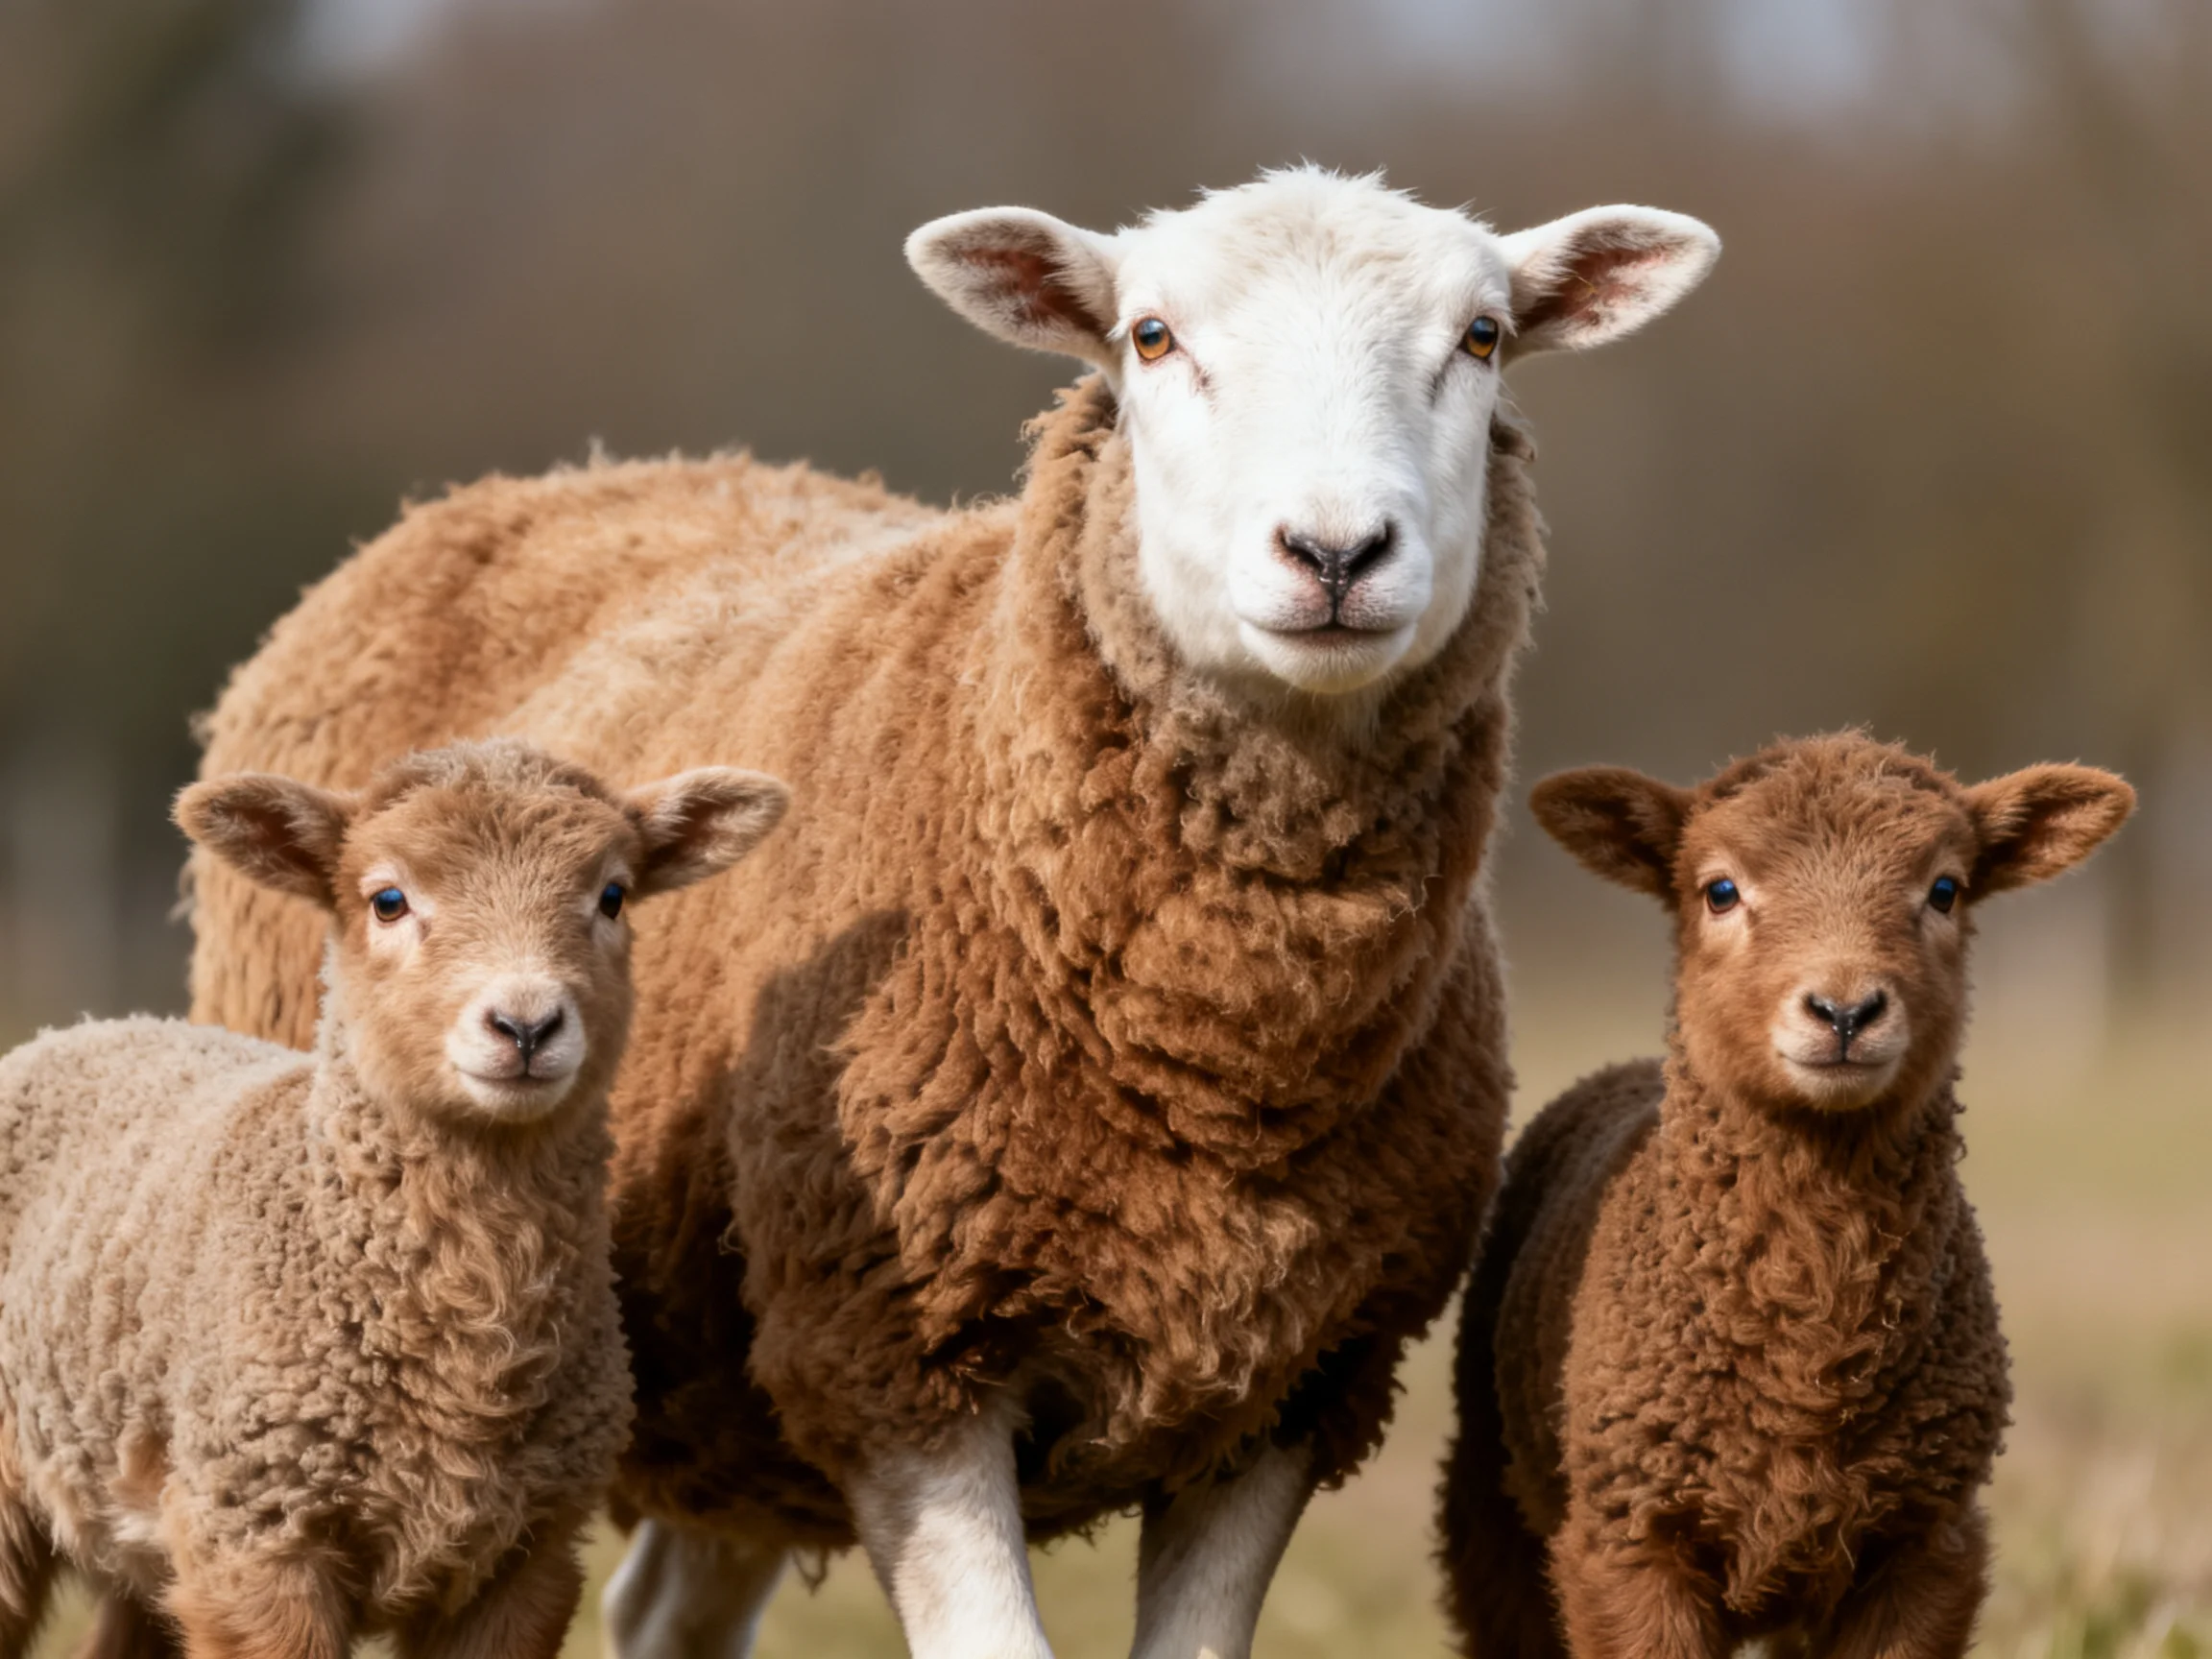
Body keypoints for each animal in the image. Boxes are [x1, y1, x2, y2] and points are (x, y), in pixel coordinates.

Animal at [0, 740, 786, 1659]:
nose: (526, 1026)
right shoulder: (259, 1533)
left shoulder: (526, 1556)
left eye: (614, 896)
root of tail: (90, 1023)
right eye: (387, 900)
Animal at [182, 167, 1721, 1659]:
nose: (1335, 552)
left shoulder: (1295, 1386)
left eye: (1483, 338)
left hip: (732, 1409)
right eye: (1149, 338)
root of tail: (570, 472)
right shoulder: (895, 1351)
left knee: (669, 1613)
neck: (1220, 1055)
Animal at [1438, 732, 2136, 1659]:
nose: (1845, 1010)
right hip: (1493, 1512)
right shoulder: (1630, 1541)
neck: (1810, 1350)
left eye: (1945, 889)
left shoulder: (1924, 1546)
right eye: (1720, 890)